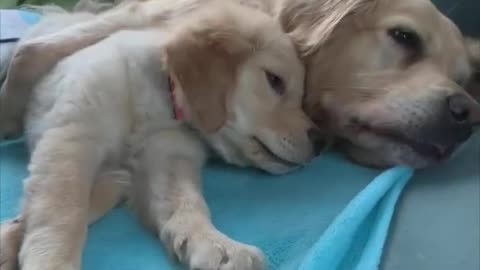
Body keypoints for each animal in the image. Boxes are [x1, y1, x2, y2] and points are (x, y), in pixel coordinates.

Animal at [0, 2, 326, 270]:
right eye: (274, 80)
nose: (320, 141)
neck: (161, 99)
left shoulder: (166, 154)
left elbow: (186, 201)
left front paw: (215, 244)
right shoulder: (74, 137)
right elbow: (63, 211)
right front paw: (52, 261)